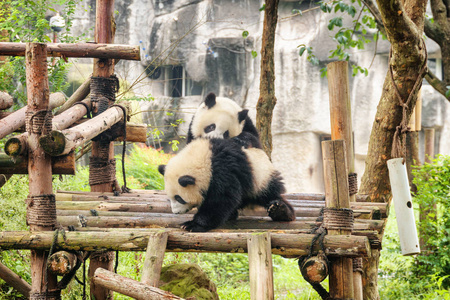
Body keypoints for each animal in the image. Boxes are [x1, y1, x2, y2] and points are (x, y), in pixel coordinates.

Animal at [158, 137, 296, 232]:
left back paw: (280, 210)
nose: (176, 212)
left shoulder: (223, 171)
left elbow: (221, 199)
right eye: (170, 197)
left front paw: (192, 225)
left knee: (269, 194)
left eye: (179, 198)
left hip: (261, 178)